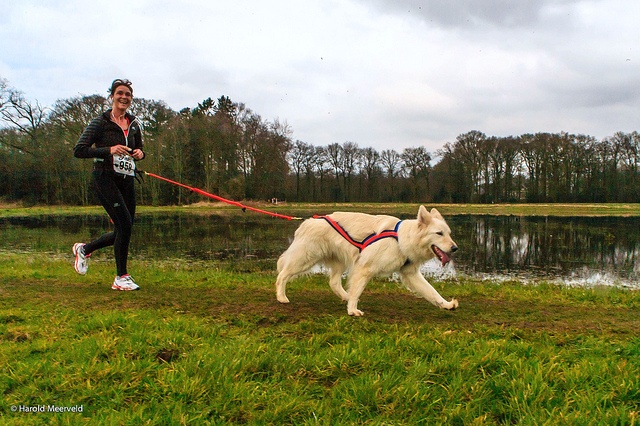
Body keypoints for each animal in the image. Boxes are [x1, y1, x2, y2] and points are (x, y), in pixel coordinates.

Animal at [276, 206, 460, 316]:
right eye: (439, 233)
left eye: (448, 233)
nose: (455, 248)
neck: (401, 239)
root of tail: (308, 221)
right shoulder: (365, 268)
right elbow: (358, 290)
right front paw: (352, 310)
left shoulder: (411, 274)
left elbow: (432, 292)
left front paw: (446, 304)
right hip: (305, 259)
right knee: (282, 275)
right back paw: (281, 297)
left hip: (339, 262)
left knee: (334, 283)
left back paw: (346, 296)